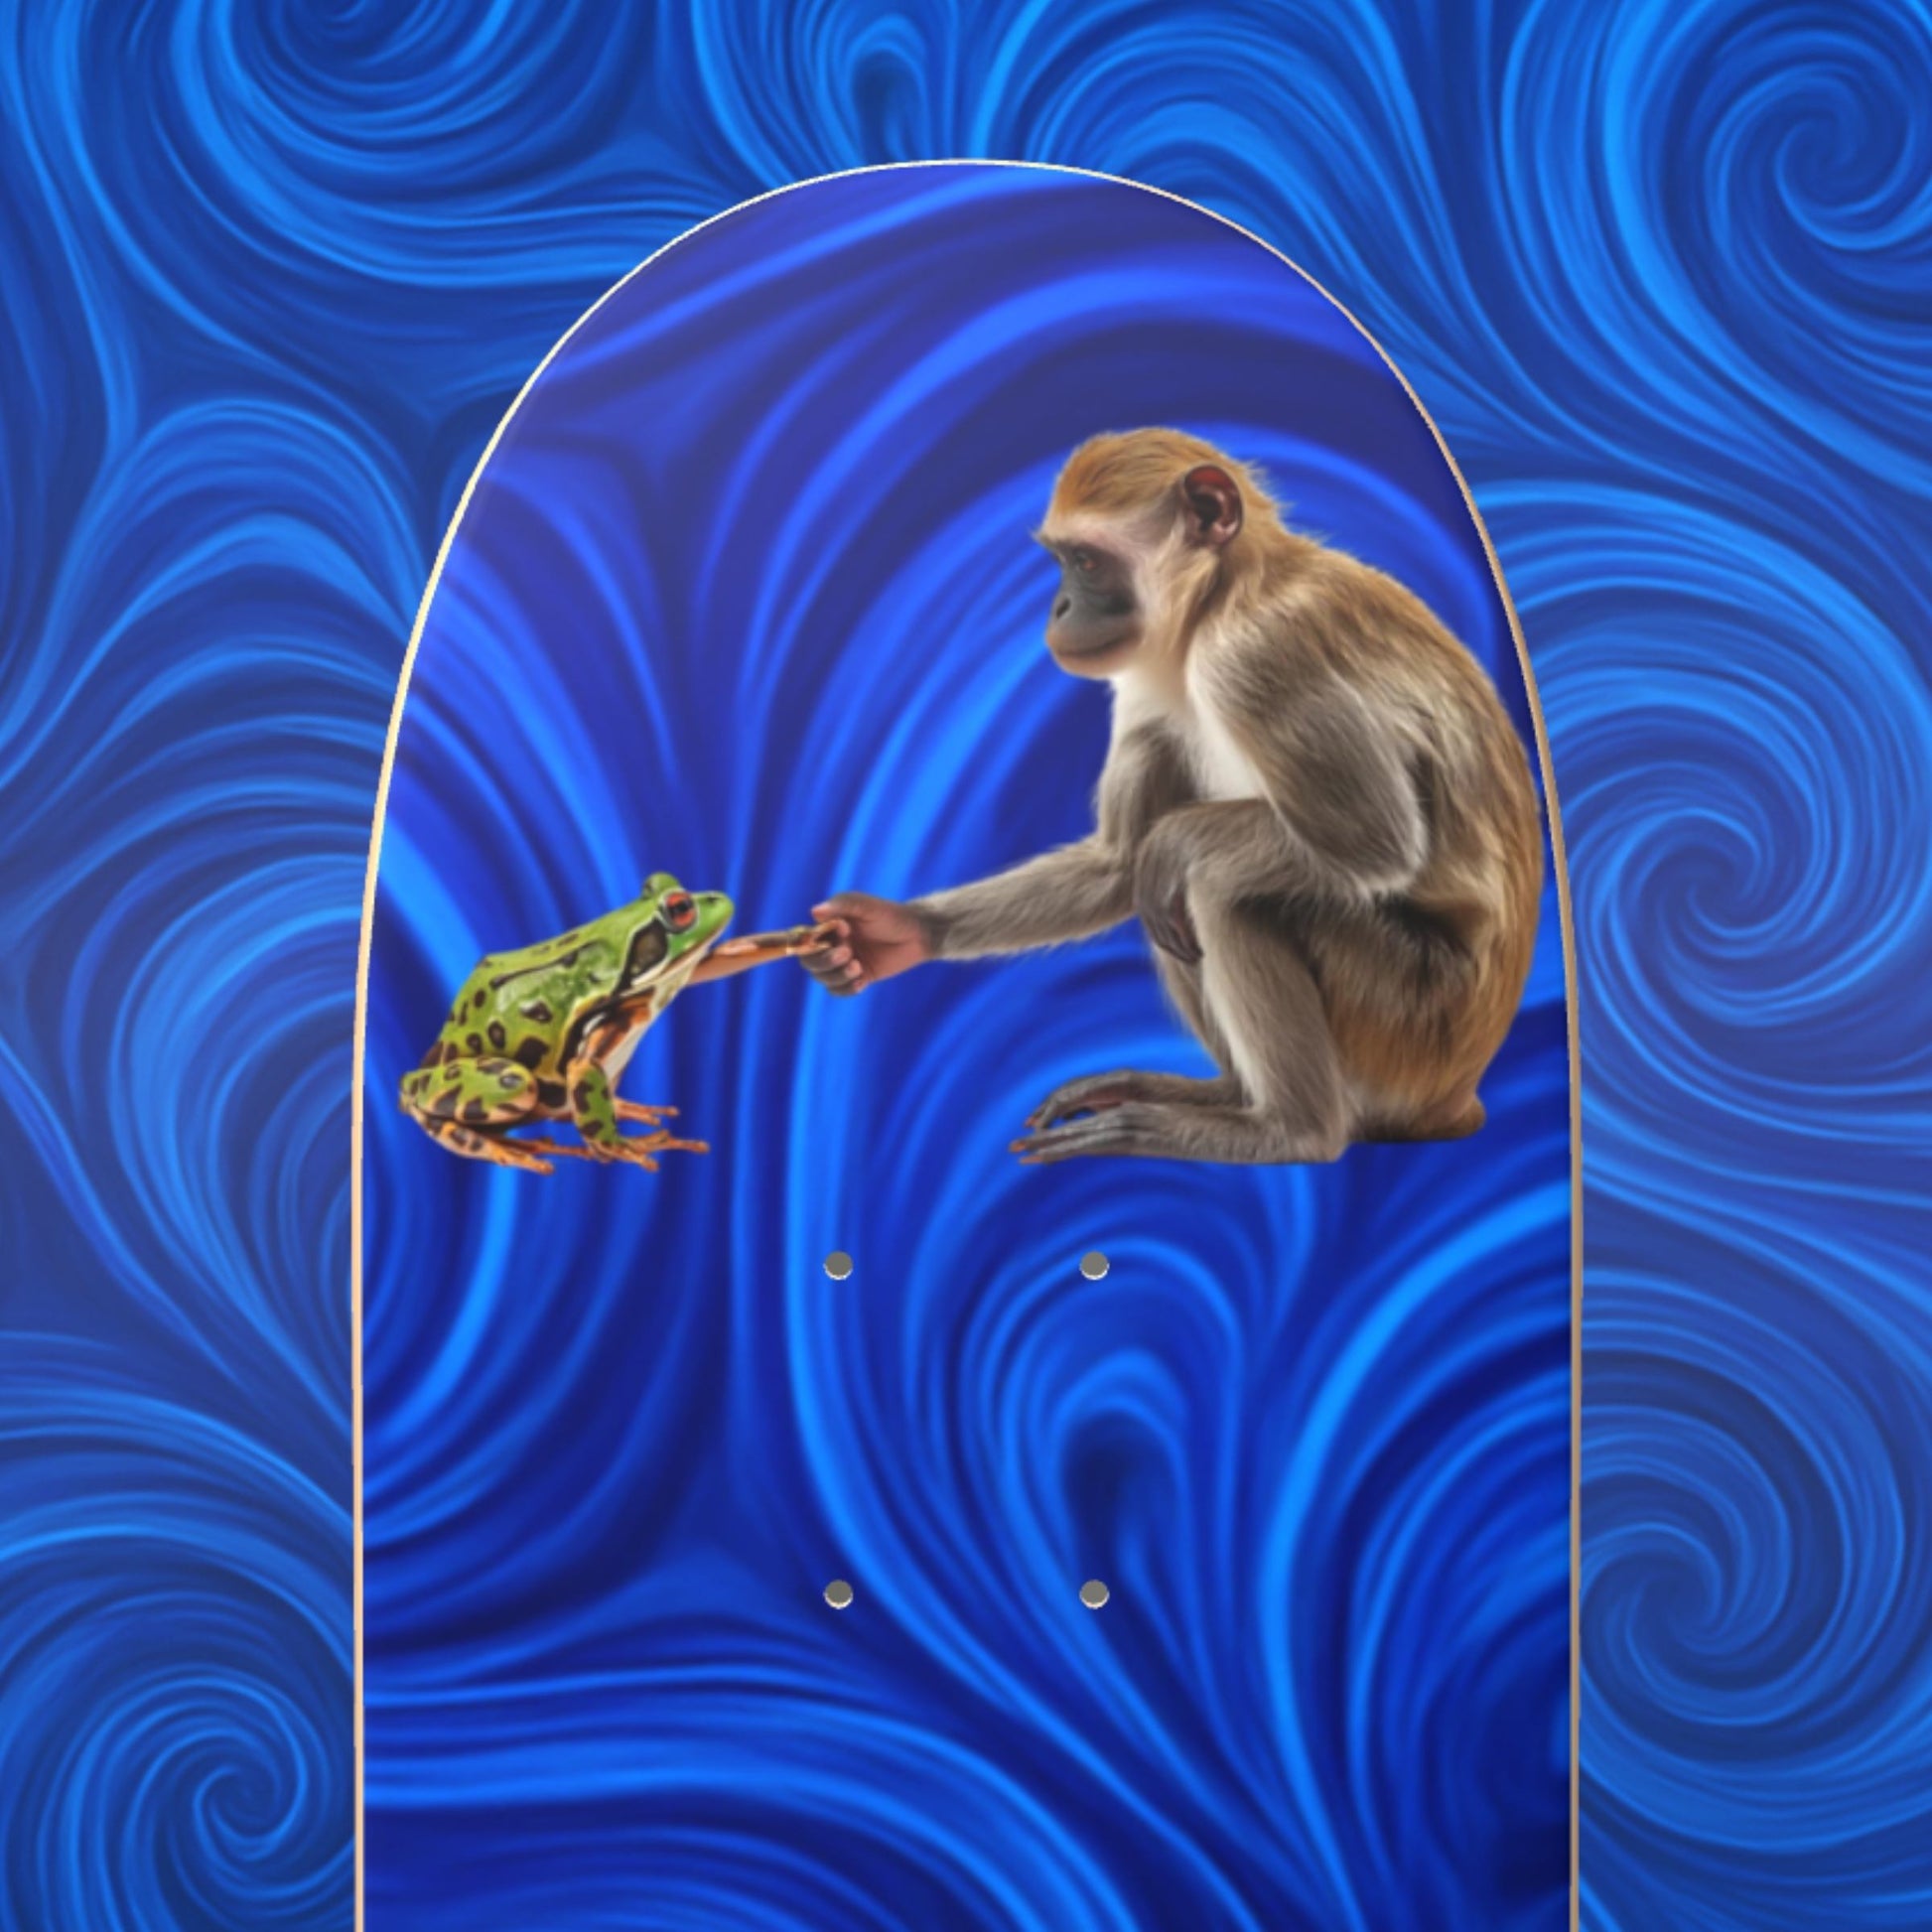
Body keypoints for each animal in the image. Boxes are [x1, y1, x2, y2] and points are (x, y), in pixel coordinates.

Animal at [799, 428, 1543, 1165]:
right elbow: (1117, 865)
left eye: (1086, 563)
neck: (1220, 597)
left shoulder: (1259, 655)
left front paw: (1177, 841)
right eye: (1061, 563)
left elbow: (1370, 846)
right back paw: (1220, 1096)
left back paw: (1290, 1129)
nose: (1059, 609)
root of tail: (1456, 1093)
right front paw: (893, 932)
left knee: (1219, 891)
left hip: (1411, 1019)